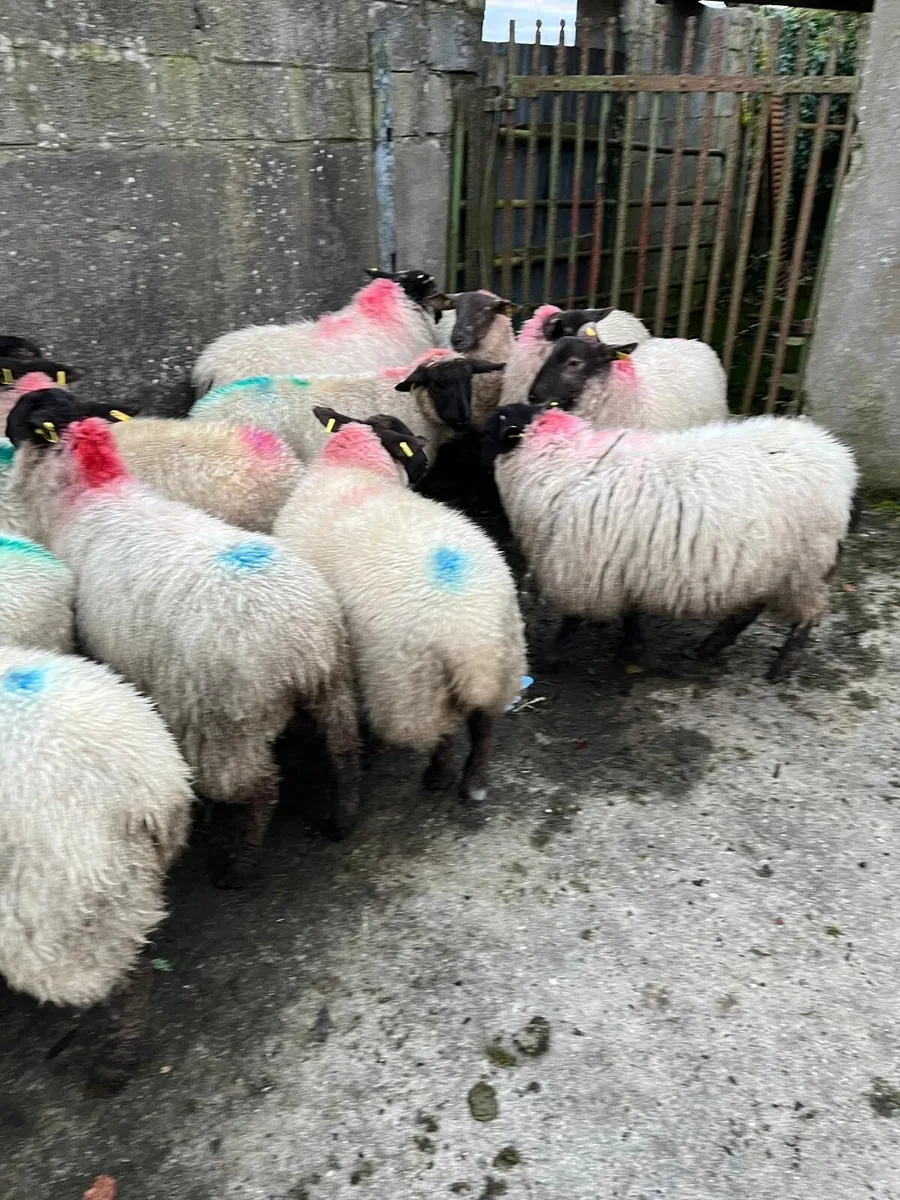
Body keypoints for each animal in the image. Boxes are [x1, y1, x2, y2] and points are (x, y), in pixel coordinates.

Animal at [11, 416, 360, 885]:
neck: (95, 493)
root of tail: (302, 650)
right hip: (333, 686)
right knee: (344, 748)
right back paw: (341, 818)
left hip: (224, 726)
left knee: (260, 786)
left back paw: (239, 864)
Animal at [274, 406, 527, 799]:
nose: (424, 461)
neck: (353, 470)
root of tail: (471, 638)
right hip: (506, 655)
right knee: (484, 722)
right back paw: (475, 781)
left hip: (408, 681)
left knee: (443, 728)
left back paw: (438, 775)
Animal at [482, 405, 858, 681]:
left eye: (488, 431)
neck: (561, 463)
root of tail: (843, 462)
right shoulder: (621, 566)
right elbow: (631, 615)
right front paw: (632, 652)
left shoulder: (584, 569)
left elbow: (574, 619)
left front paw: (552, 657)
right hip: (772, 564)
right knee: (750, 609)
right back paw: (709, 648)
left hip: (807, 565)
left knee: (807, 615)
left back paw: (782, 666)